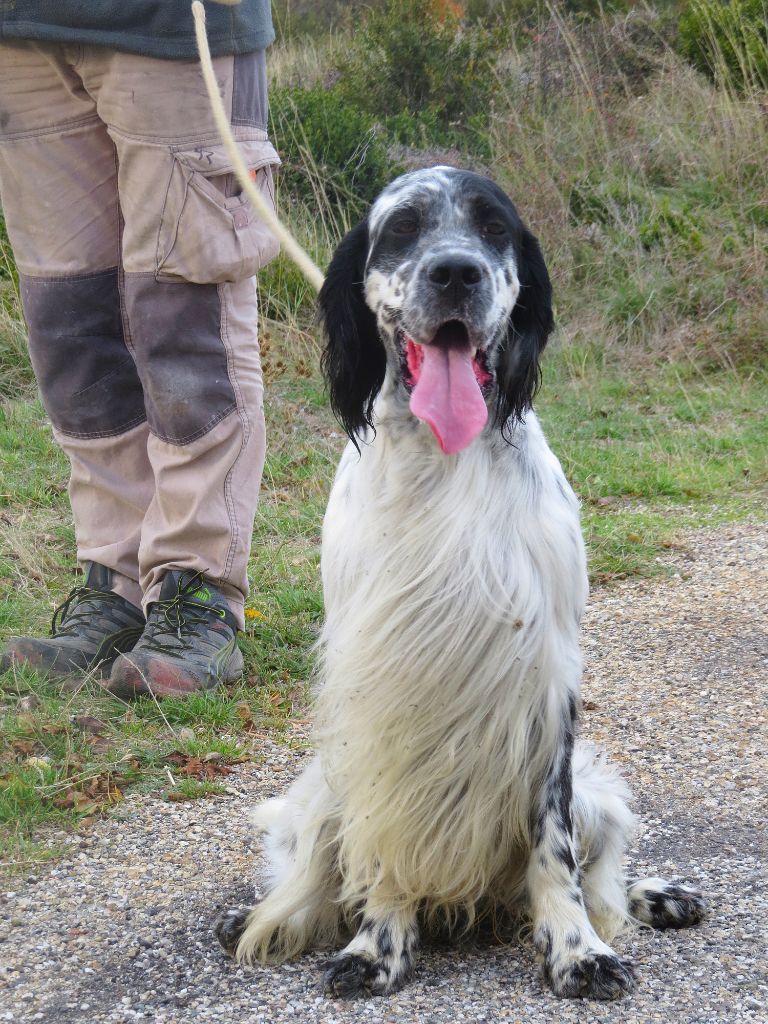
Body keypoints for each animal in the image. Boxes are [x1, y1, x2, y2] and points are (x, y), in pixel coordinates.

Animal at [215, 167, 704, 999]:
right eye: (404, 227)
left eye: (493, 228)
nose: (456, 273)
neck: (443, 462)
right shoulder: (380, 684)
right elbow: (384, 842)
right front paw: (378, 943)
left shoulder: (548, 684)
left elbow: (557, 854)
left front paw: (576, 950)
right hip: (320, 797)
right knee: (311, 872)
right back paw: (263, 917)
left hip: (596, 796)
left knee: (604, 873)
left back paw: (655, 895)